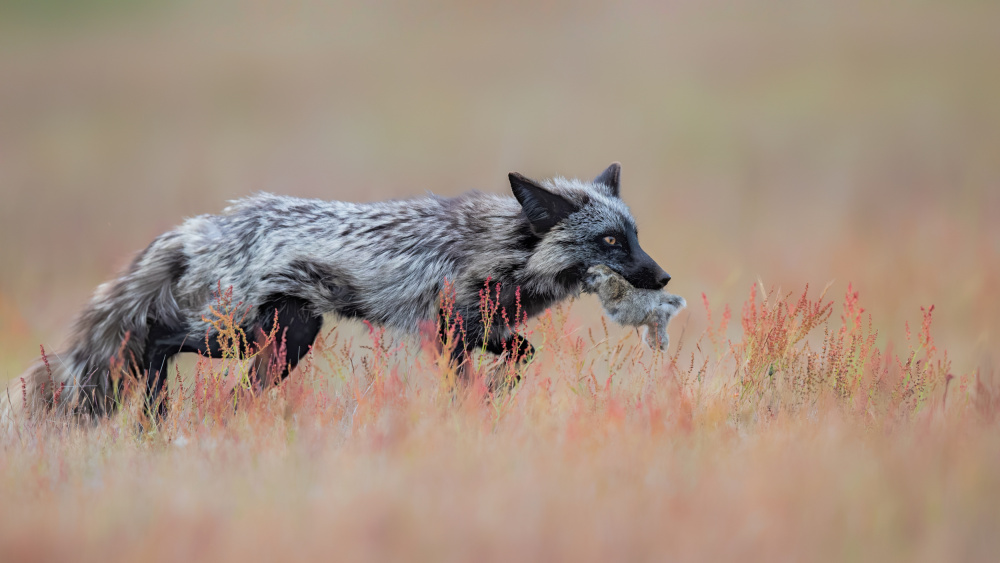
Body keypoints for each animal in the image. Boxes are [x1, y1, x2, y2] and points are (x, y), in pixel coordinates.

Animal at [3, 163, 672, 424]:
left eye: (635, 236)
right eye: (610, 241)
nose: (663, 278)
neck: (500, 246)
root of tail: (198, 226)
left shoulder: (466, 327)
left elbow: (519, 355)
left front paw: (494, 395)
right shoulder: (449, 326)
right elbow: (486, 369)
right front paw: (477, 405)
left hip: (281, 342)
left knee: (185, 368)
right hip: (240, 334)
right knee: (153, 341)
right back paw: (158, 413)